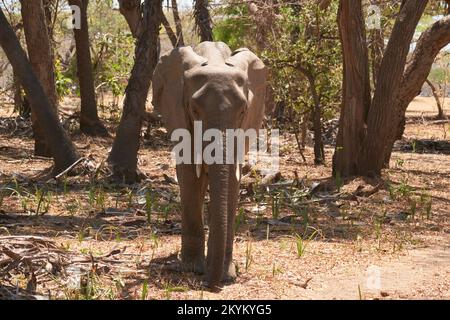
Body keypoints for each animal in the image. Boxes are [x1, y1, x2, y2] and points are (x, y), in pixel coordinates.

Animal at [151, 41, 268, 288]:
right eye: (195, 111)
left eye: (242, 111)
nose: (209, 283)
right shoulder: (179, 116)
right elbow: (189, 176)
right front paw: (192, 269)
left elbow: (232, 181)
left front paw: (227, 275)